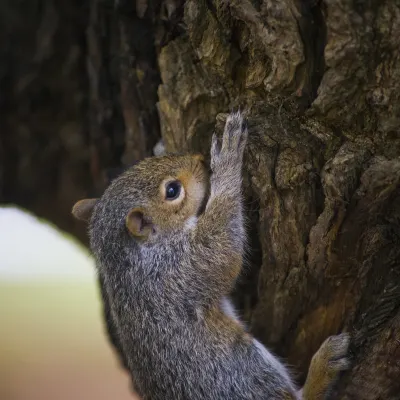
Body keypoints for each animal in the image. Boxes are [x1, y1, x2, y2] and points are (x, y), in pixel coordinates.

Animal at [72, 111, 350, 400]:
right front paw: (228, 157)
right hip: (243, 371)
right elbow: (223, 247)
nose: (199, 159)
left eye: (145, 163)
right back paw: (323, 368)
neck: (127, 259)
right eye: (172, 191)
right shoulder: (181, 268)